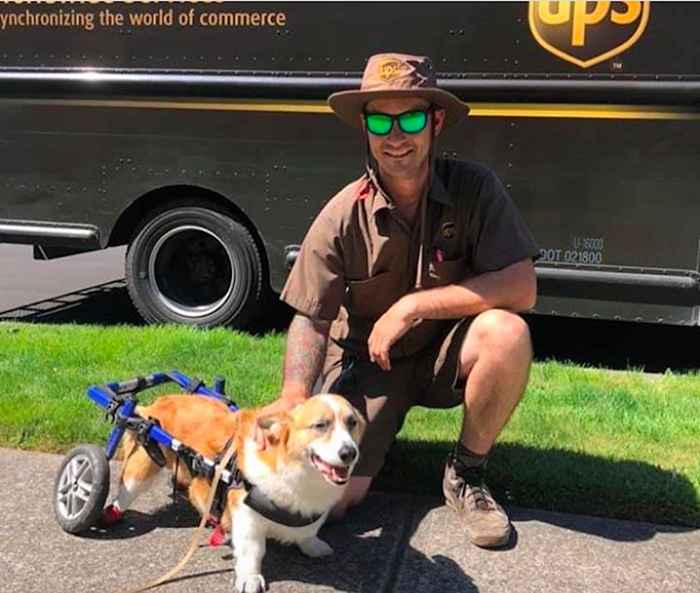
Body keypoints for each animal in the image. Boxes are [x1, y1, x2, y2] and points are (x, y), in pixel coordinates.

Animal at [105, 394, 366, 592]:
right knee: (125, 491)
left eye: (352, 422)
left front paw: (312, 545)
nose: (349, 453)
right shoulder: (246, 514)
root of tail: (157, 402)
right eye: (320, 425)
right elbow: (253, 551)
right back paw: (111, 513)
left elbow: (309, 532)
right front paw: (250, 578)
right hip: (143, 466)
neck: (300, 473)